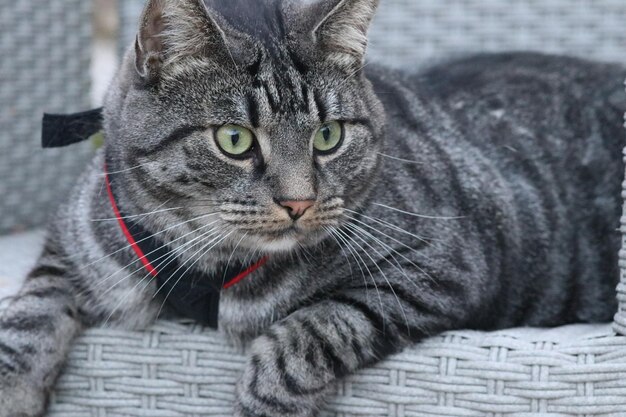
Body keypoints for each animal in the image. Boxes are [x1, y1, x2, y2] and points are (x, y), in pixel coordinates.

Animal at [1, 0, 624, 414]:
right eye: (234, 140)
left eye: (329, 136)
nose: (298, 202)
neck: (205, 267)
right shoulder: (71, 242)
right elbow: (28, 312)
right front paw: (14, 390)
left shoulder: (443, 266)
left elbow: (310, 334)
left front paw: (262, 396)